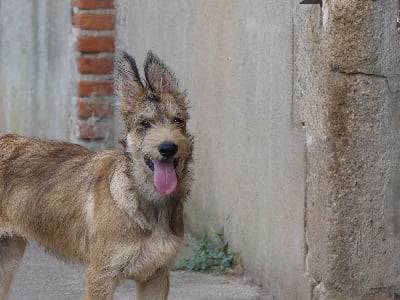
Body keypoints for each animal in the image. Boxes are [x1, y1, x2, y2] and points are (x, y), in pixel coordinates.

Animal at [0, 50, 194, 298]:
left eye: (178, 120)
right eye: (145, 123)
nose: (168, 148)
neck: (144, 200)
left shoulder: (156, 276)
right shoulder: (102, 275)